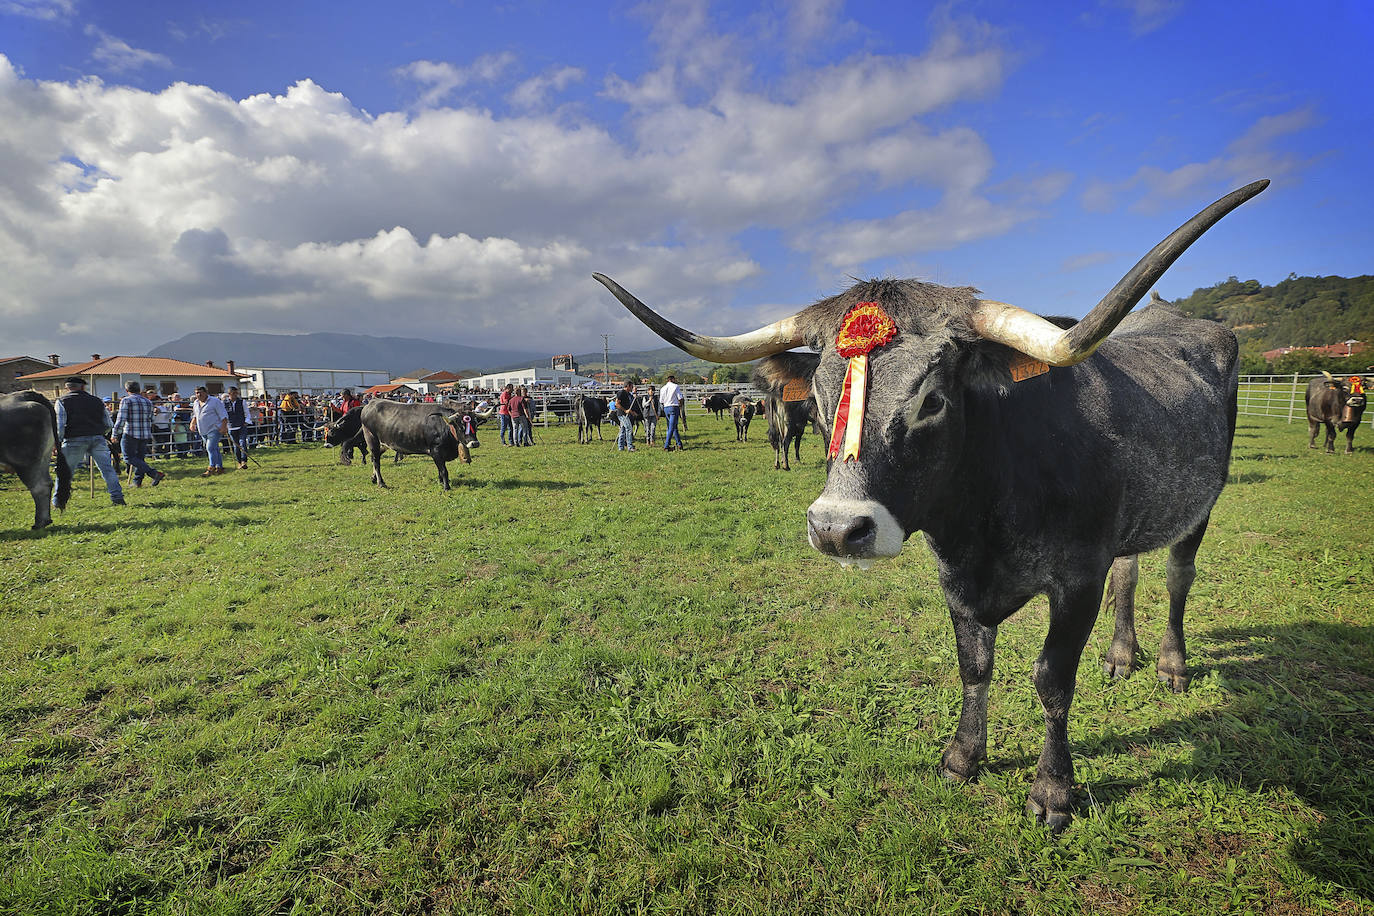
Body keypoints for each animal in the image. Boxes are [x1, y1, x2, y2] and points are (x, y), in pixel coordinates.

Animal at [0, 392, 73, 530]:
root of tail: (22, 395)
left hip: (25, 462)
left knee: (39, 487)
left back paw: (40, 522)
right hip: (43, 459)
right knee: (47, 483)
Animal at [596, 177, 1269, 829]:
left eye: (933, 400)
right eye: (820, 397)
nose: (837, 529)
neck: (987, 512)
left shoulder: (1078, 577)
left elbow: (1052, 678)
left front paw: (1052, 790)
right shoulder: (959, 577)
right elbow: (974, 665)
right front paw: (963, 756)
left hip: (1200, 506)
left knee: (1179, 576)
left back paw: (1171, 664)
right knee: (1129, 572)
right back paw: (1122, 656)